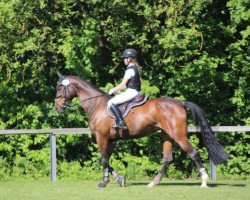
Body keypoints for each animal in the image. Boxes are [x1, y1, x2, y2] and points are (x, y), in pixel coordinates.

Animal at [54, 72, 229, 188]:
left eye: (59, 88)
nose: (57, 107)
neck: (96, 104)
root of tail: (180, 102)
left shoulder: (101, 137)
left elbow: (103, 159)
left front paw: (104, 182)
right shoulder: (111, 140)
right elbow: (107, 160)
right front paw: (120, 179)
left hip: (178, 135)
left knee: (193, 153)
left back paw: (204, 181)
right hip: (167, 135)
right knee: (167, 158)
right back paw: (153, 182)